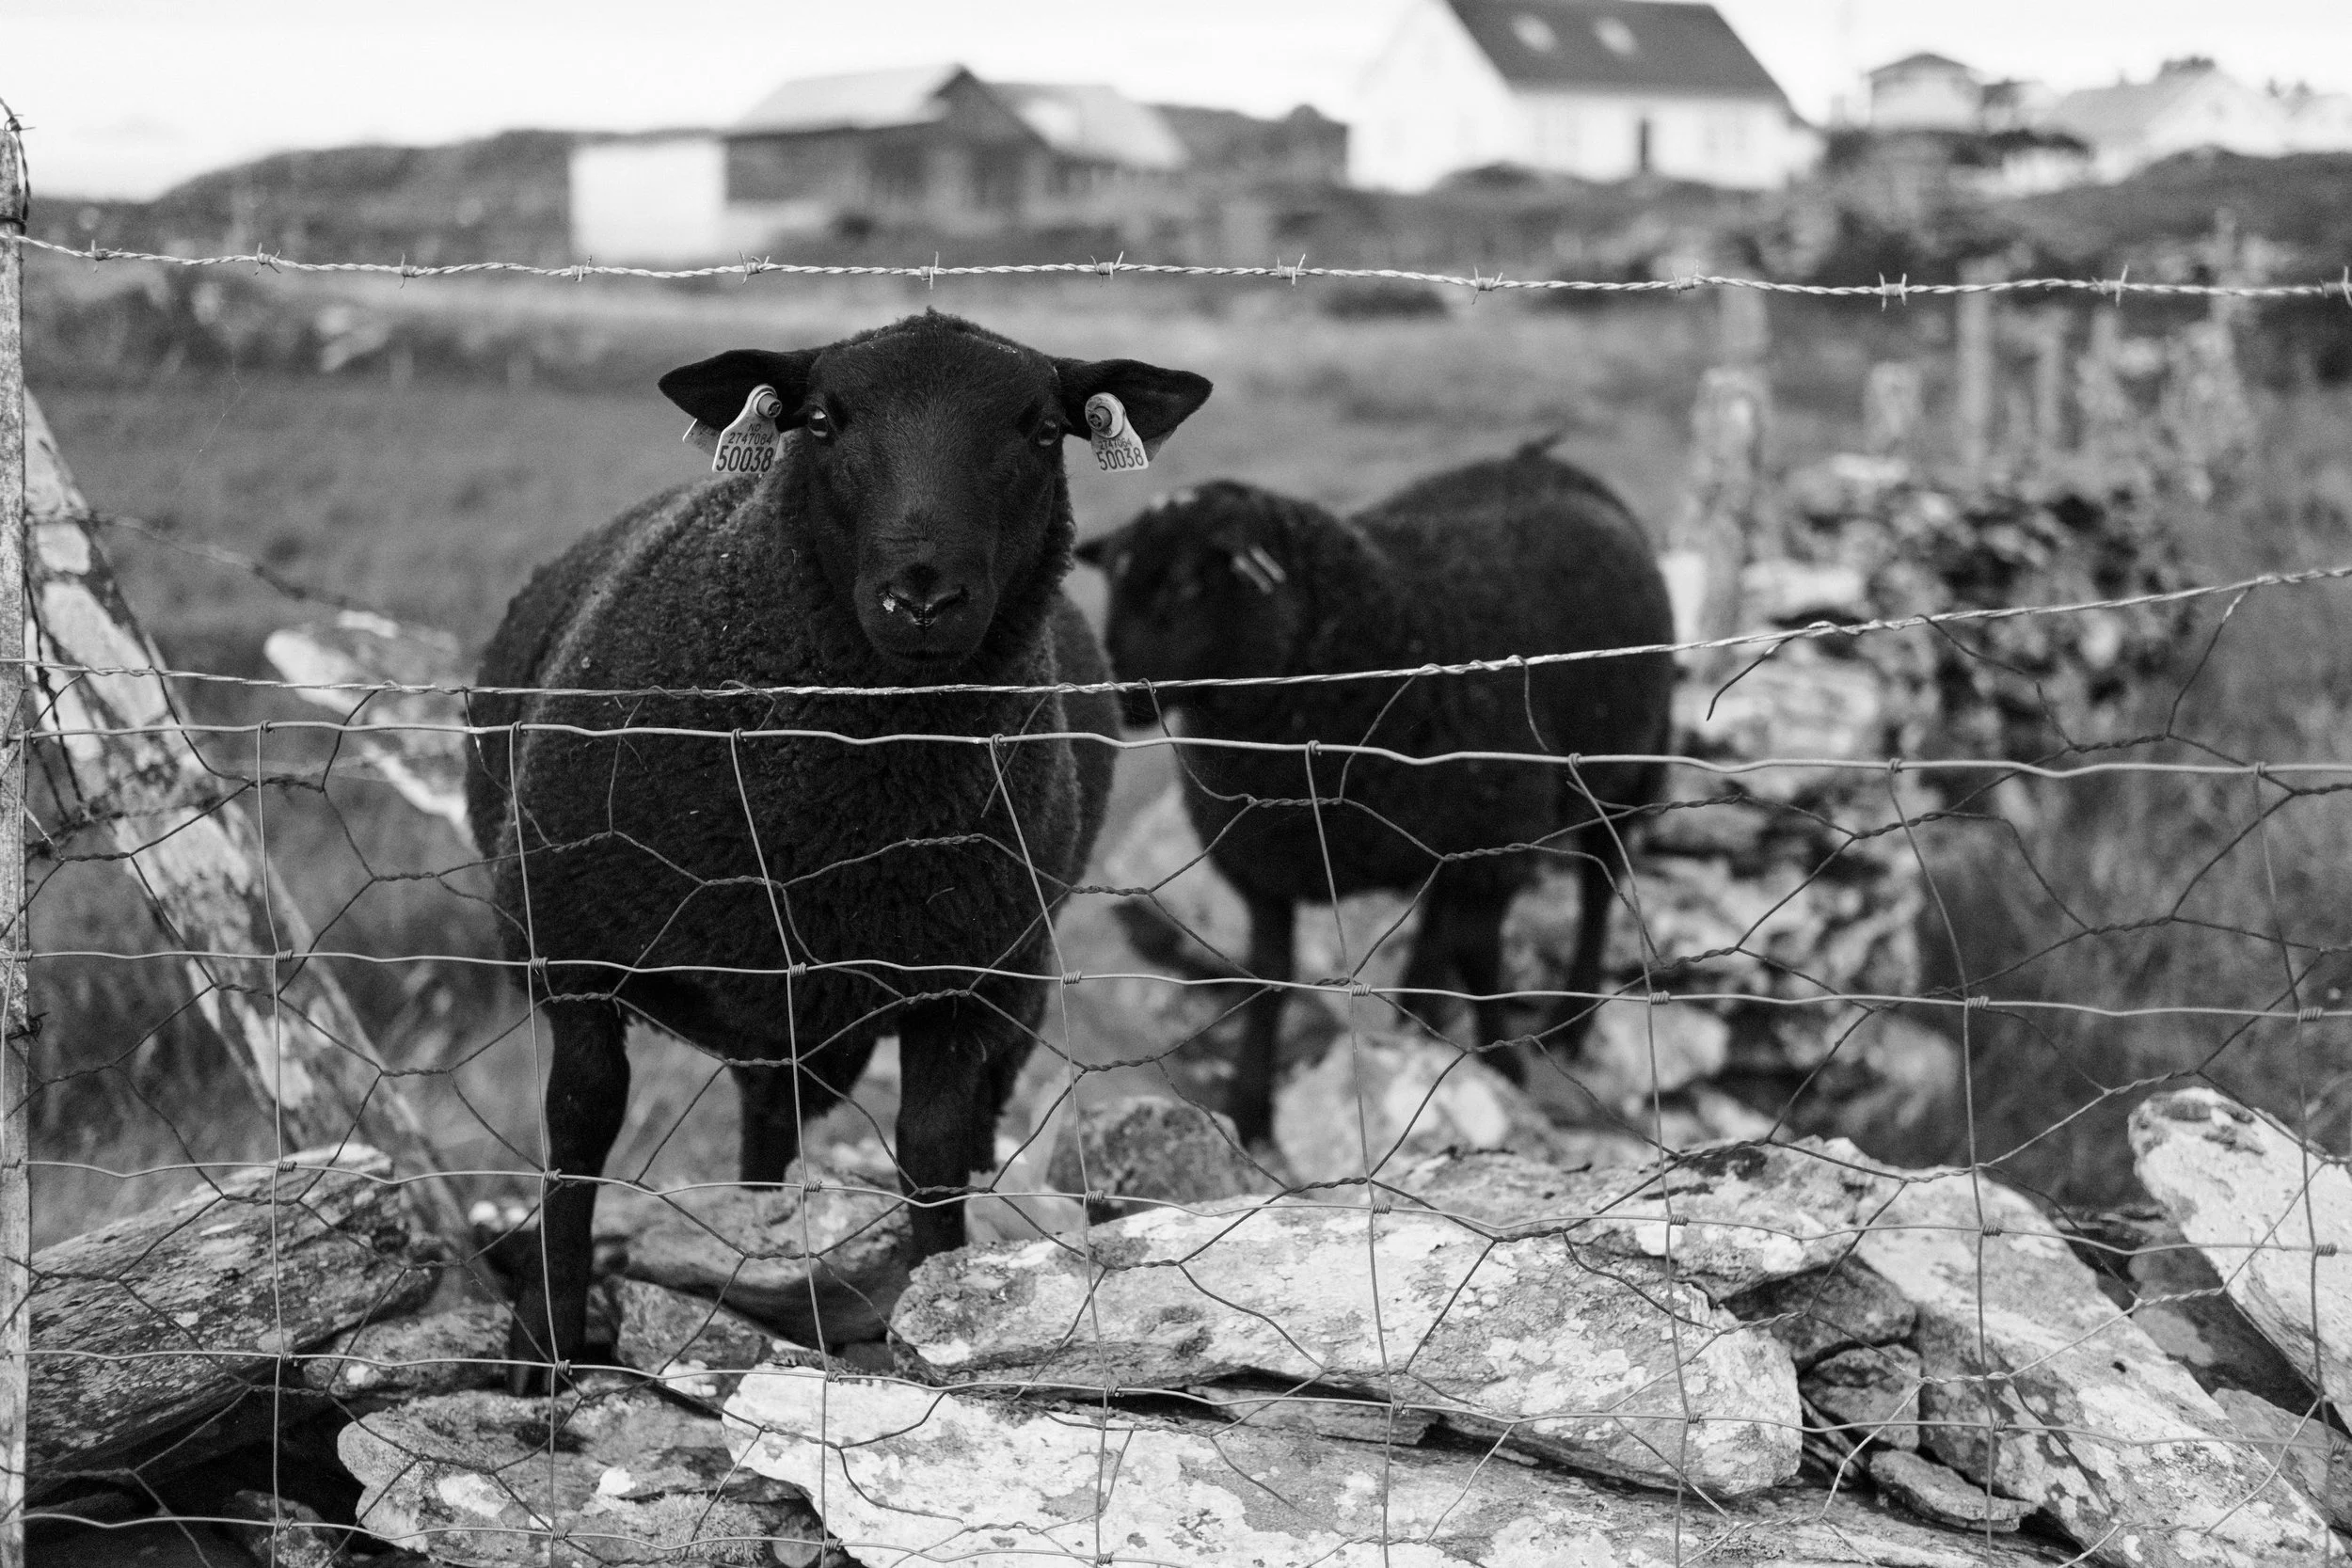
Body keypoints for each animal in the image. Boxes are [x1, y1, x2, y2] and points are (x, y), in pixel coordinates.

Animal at [465, 312, 1211, 1388]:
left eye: (1041, 430)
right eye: (820, 420)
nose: (924, 595)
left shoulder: (955, 979)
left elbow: (931, 1153)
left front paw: (943, 1320)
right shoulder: (576, 952)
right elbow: (578, 1130)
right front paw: (545, 1343)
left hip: (1002, 971)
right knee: (762, 1120)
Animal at [1077, 442, 1674, 1149]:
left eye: (1187, 585)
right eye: (1113, 584)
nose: (1119, 698)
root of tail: (1539, 457)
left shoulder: (1498, 844)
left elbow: (1480, 960)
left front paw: (1504, 1064)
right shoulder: (1263, 870)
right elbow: (1268, 982)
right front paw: (1249, 1107)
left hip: (1625, 771)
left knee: (1599, 886)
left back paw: (1572, 1019)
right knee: (1439, 924)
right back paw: (1419, 1017)